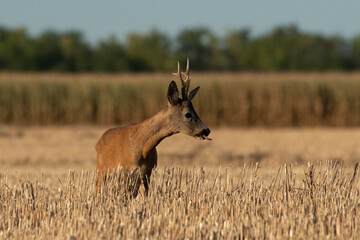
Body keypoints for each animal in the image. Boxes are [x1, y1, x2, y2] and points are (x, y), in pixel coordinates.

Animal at [96, 58, 211, 197]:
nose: (206, 130)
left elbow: (145, 195)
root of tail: (99, 140)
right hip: (101, 170)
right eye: (188, 114)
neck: (143, 147)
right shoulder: (126, 169)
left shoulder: (148, 171)